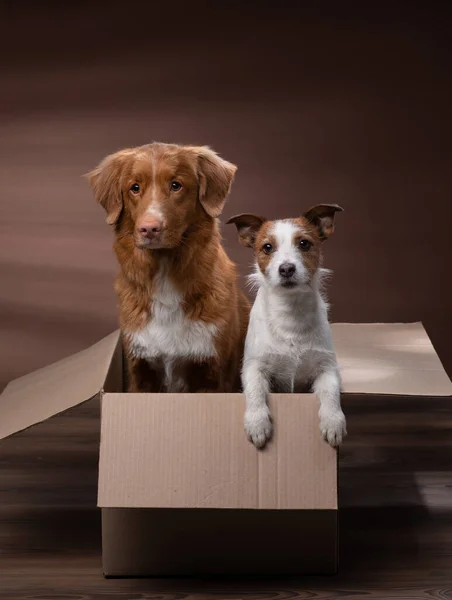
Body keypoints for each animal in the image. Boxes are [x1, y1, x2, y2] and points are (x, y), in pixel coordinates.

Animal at [87, 141, 251, 394]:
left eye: (176, 185)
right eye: (134, 188)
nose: (149, 229)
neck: (164, 271)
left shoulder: (213, 376)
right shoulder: (139, 372)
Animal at [228, 204, 348, 448]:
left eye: (304, 243)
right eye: (267, 247)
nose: (286, 269)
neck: (291, 312)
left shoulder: (327, 368)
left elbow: (331, 393)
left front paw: (333, 421)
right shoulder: (254, 367)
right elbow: (255, 391)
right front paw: (257, 422)